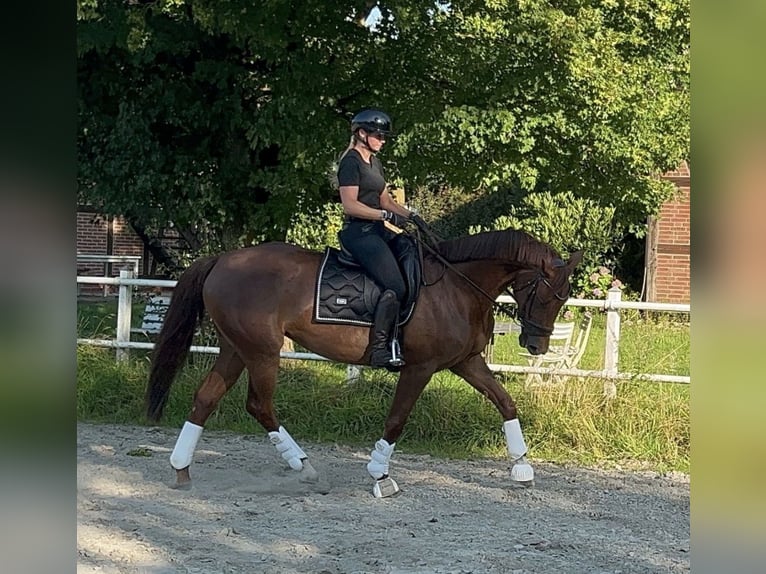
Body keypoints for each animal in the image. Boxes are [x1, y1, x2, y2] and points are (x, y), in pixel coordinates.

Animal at [147, 230, 584, 500]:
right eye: (546, 293)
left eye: (564, 297)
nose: (536, 344)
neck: (457, 286)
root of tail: (224, 259)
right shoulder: (420, 367)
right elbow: (397, 420)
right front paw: (381, 476)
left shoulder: (466, 362)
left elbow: (505, 402)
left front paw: (522, 468)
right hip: (261, 352)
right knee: (259, 405)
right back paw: (304, 467)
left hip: (235, 349)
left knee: (206, 399)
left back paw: (182, 470)